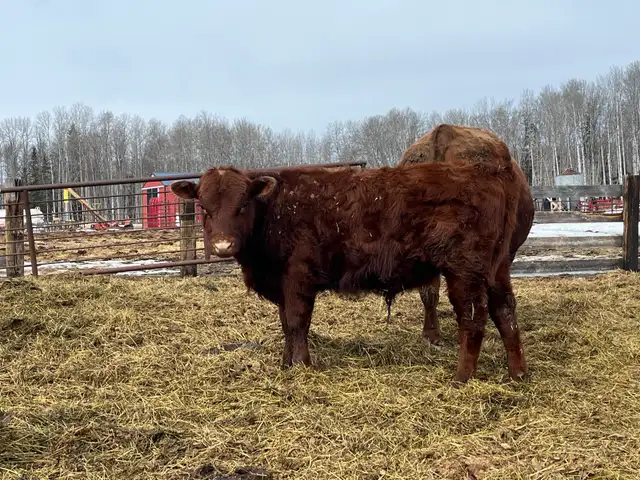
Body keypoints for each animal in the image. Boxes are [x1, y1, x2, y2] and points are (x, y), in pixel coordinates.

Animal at [171, 154, 523, 384]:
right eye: (203, 207)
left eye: (243, 204)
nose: (223, 246)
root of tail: (489, 171)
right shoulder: (282, 283)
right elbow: (286, 325)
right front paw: (286, 364)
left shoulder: (298, 277)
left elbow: (297, 323)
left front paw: (302, 366)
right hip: (496, 269)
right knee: (504, 311)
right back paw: (517, 373)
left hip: (464, 271)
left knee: (473, 318)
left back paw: (462, 377)